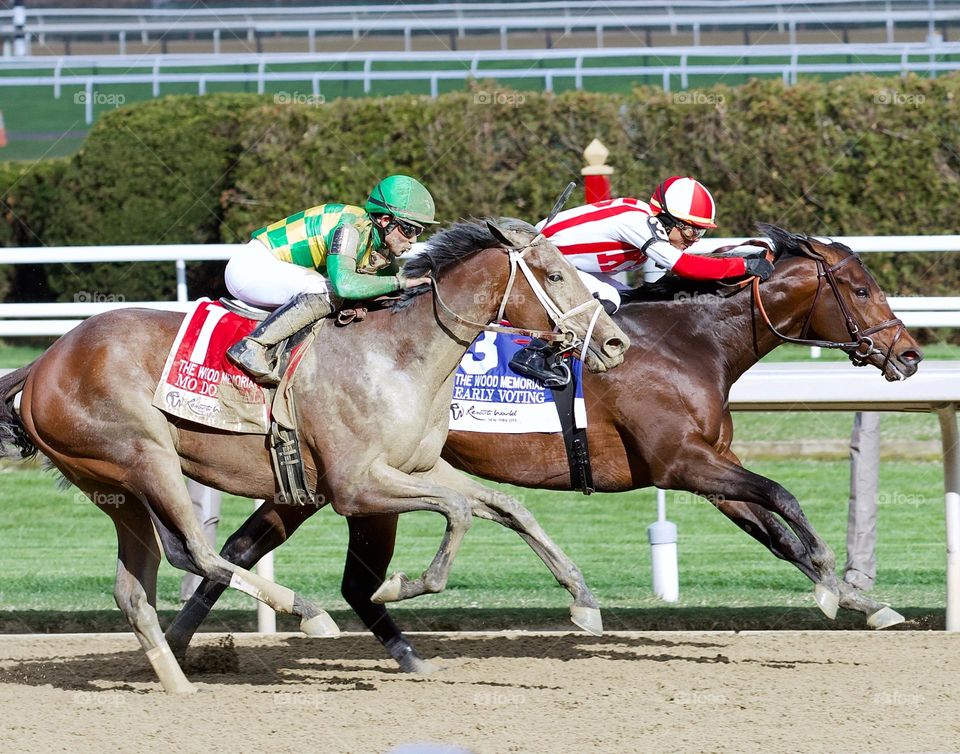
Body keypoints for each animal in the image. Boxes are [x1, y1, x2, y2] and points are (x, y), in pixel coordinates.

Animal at [0, 216, 632, 688]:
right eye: (554, 274)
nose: (615, 343)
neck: (398, 355)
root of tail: (44, 361)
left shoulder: (421, 466)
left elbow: (508, 507)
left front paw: (583, 601)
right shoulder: (354, 485)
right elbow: (457, 512)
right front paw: (396, 584)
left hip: (115, 488)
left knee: (139, 585)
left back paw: (177, 680)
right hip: (144, 457)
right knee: (198, 553)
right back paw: (309, 613)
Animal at [163, 223, 924, 668]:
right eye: (860, 288)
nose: (910, 356)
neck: (690, 343)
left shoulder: (708, 468)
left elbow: (776, 530)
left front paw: (860, 600)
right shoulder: (684, 463)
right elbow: (784, 497)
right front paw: (833, 582)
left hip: (318, 480)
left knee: (247, 550)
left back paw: (179, 642)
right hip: (341, 478)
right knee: (277, 559)